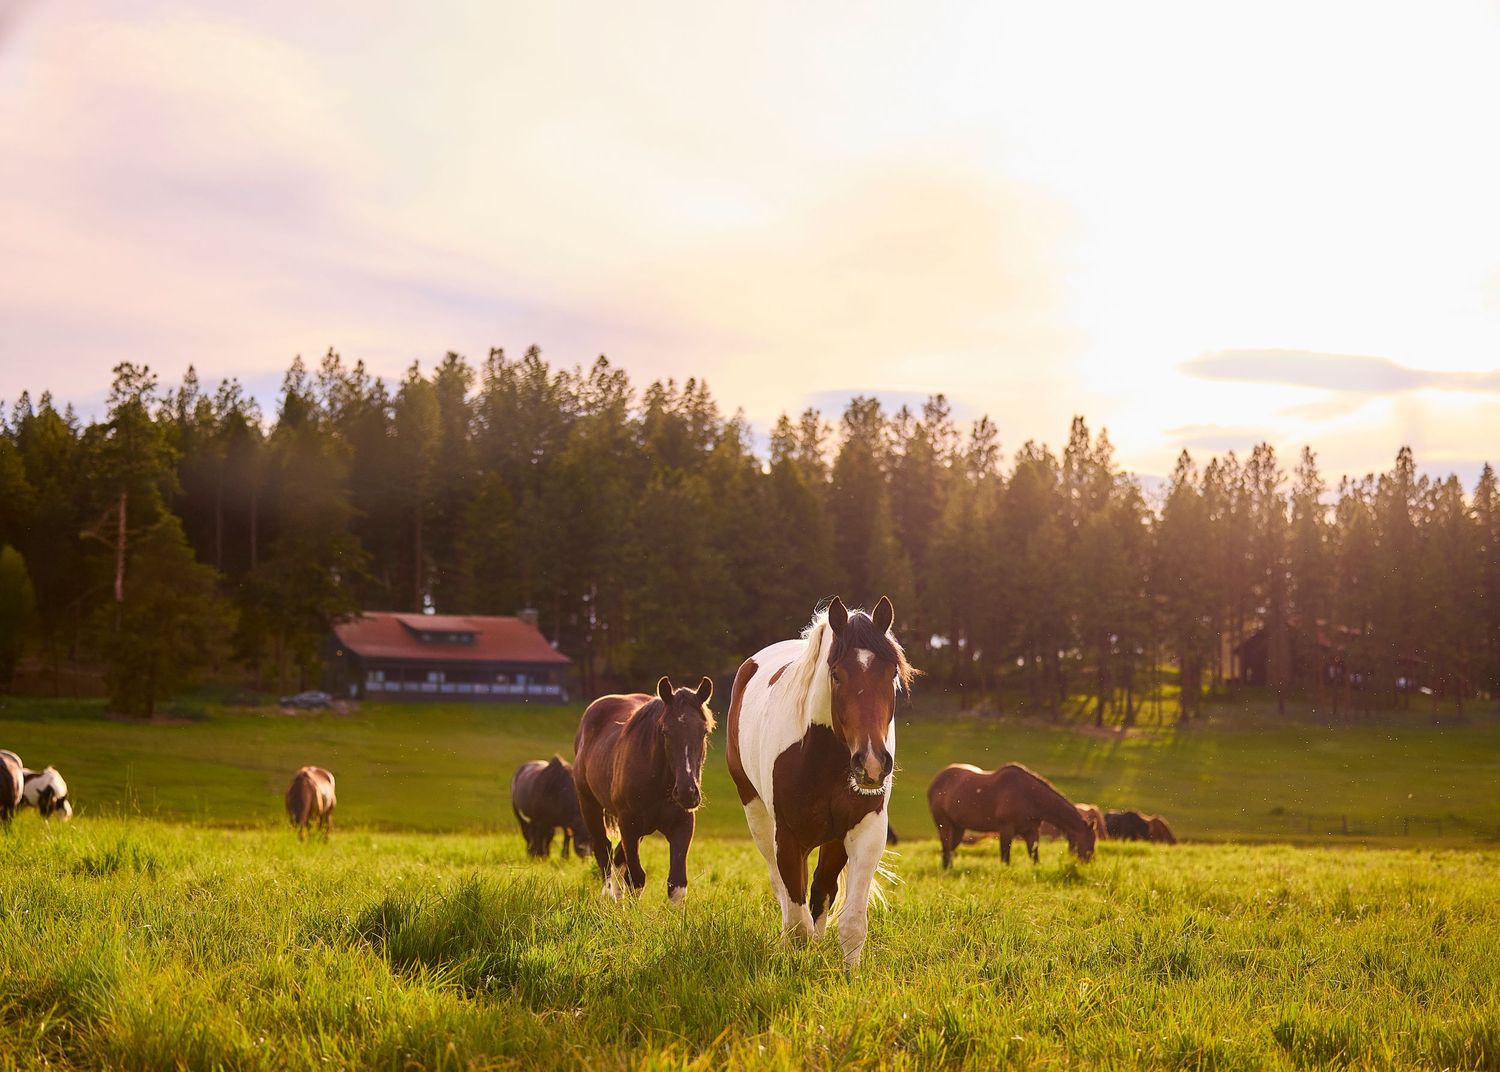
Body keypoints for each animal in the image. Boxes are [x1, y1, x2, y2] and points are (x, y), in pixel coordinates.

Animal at [573, 675, 714, 903]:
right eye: (665, 731)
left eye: (704, 731)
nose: (687, 792)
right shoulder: (629, 824)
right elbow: (636, 879)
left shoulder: (682, 824)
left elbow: (676, 884)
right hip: (589, 805)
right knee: (603, 849)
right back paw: (608, 895)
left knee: (617, 856)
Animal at [726, 596, 914, 968]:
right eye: (837, 674)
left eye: (892, 673)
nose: (872, 764)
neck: (819, 757)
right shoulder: (788, 838)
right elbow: (797, 924)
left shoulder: (863, 831)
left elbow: (851, 920)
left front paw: (850, 974)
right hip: (758, 817)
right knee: (783, 890)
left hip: (832, 841)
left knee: (821, 891)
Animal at [928, 762, 1096, 868]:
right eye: (1089, 840)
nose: (1088, 863)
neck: (1028, 796)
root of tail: (935, 781)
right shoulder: (1006, 830)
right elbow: (1005, 857)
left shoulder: (1031, 831)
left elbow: (1034, 856)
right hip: (944, 824)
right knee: (946, 846)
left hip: (959, 828)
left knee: (949, 849)